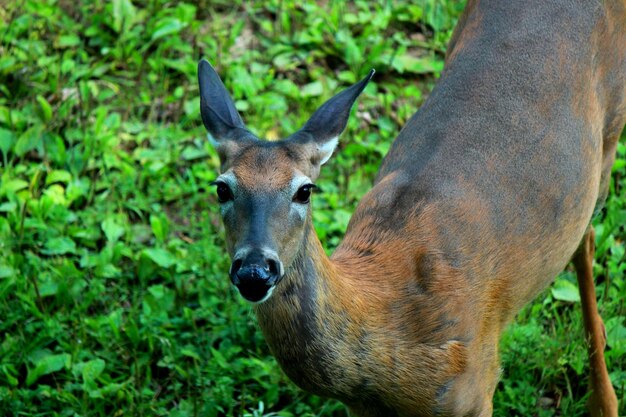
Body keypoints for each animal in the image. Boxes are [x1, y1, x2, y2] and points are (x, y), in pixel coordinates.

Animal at [199, 1, 624, 414]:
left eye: (304, 190)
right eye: (222, 188)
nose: (255, 270)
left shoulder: (475, 388)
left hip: (608, 136)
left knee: (585, 238)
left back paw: (604, 398)